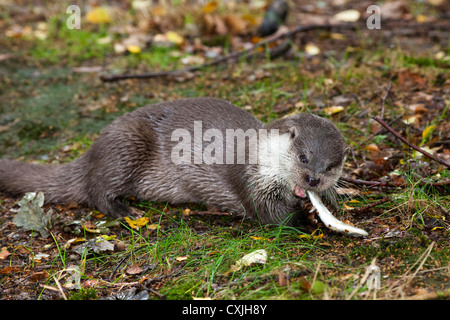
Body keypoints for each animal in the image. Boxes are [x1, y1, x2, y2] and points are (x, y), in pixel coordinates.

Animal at [0, 97, 362, 232]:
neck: (261, 155)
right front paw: (306, 218)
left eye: (331, 165)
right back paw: (125, 210)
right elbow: (270, 214)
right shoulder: (250, 179)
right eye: (303, 157)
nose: (313, 180)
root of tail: (91, 150)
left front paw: (326, 203)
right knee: (96, 189)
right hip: (125, 147)